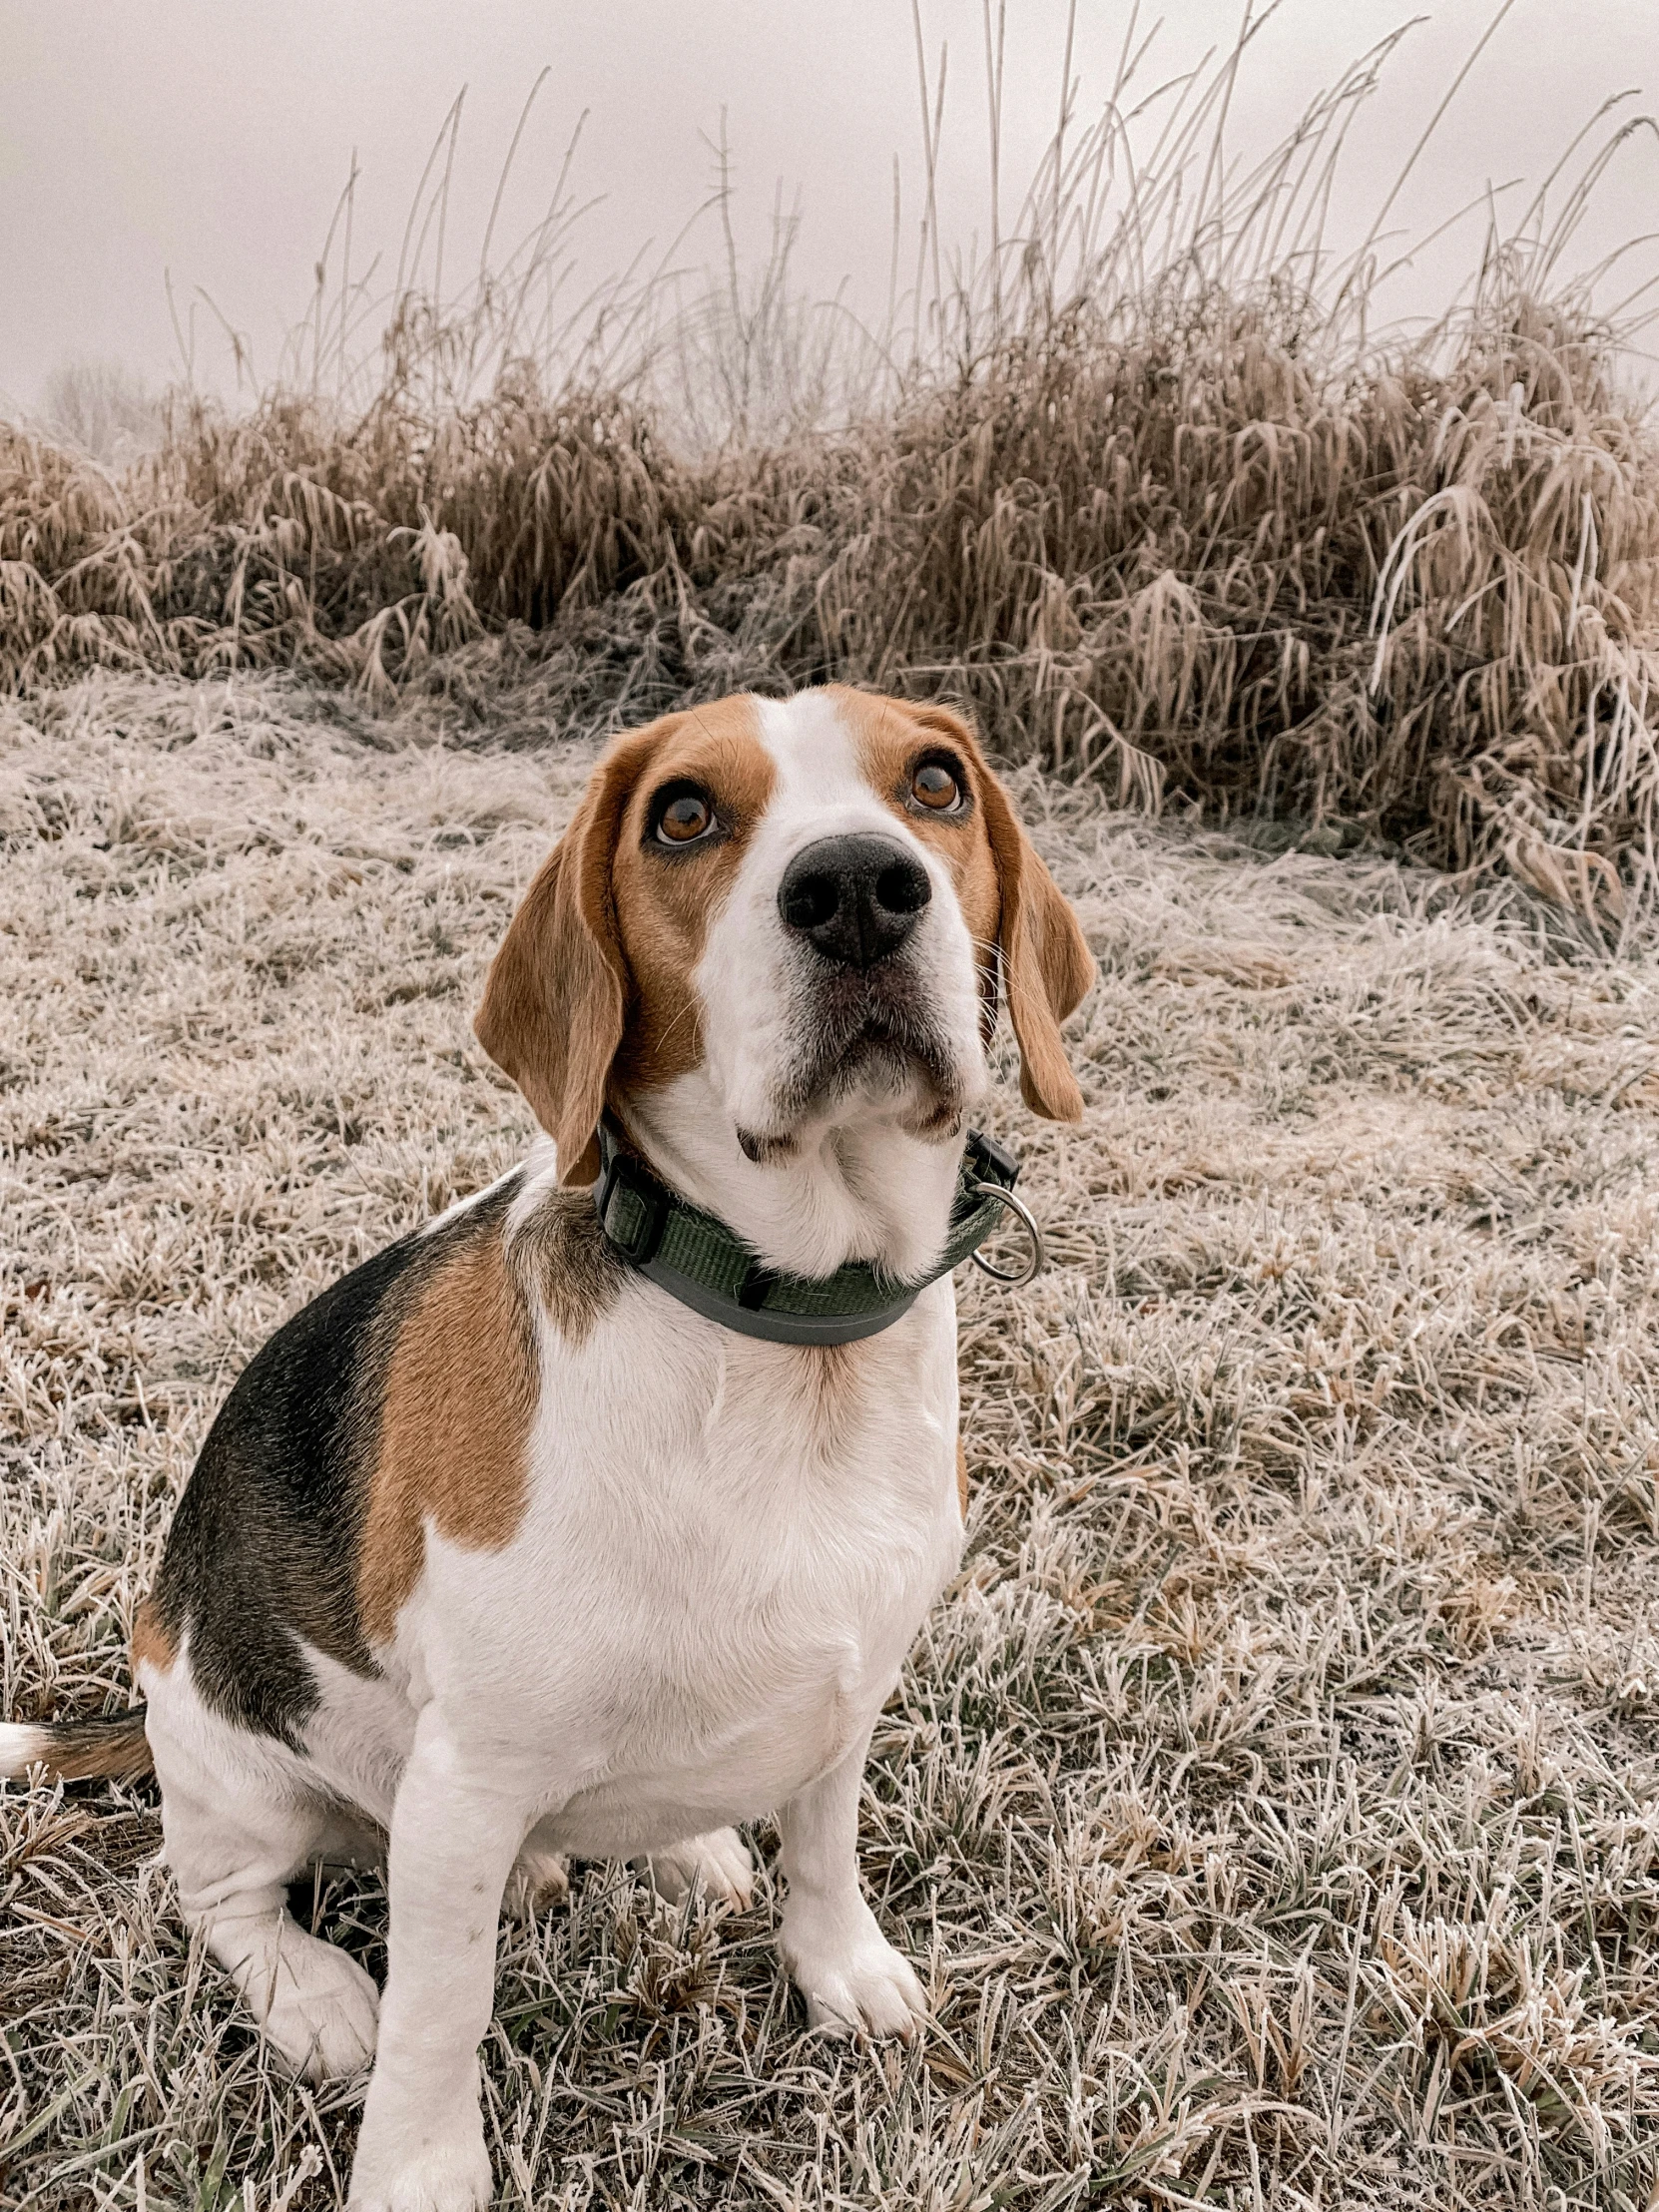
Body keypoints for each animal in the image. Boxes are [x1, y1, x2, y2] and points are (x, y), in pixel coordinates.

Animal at [3, 685, 1106, 2212]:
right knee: (225, 1894)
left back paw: (688, 1844)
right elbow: (440, 2011)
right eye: (683, 815)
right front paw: (418, 2171)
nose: (856, 889)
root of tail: (154, 1650)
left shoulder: (854, 1686)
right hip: (241, 1765)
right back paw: (310, 1989)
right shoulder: (465, 1786)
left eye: (935, 782)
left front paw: (841, 1970)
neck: (784, 1336)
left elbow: (826, 1844)